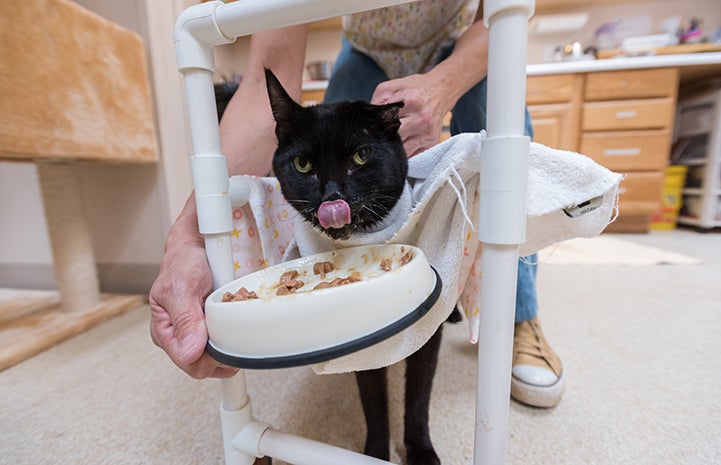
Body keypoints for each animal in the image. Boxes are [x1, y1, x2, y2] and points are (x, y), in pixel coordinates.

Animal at [264, 69, 444, 464]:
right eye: (303, 165)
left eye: (361, 156)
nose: (333, 197)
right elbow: (373, 400)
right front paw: (376, 452)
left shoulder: (428, 330)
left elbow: (419, 395)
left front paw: (422, 451)